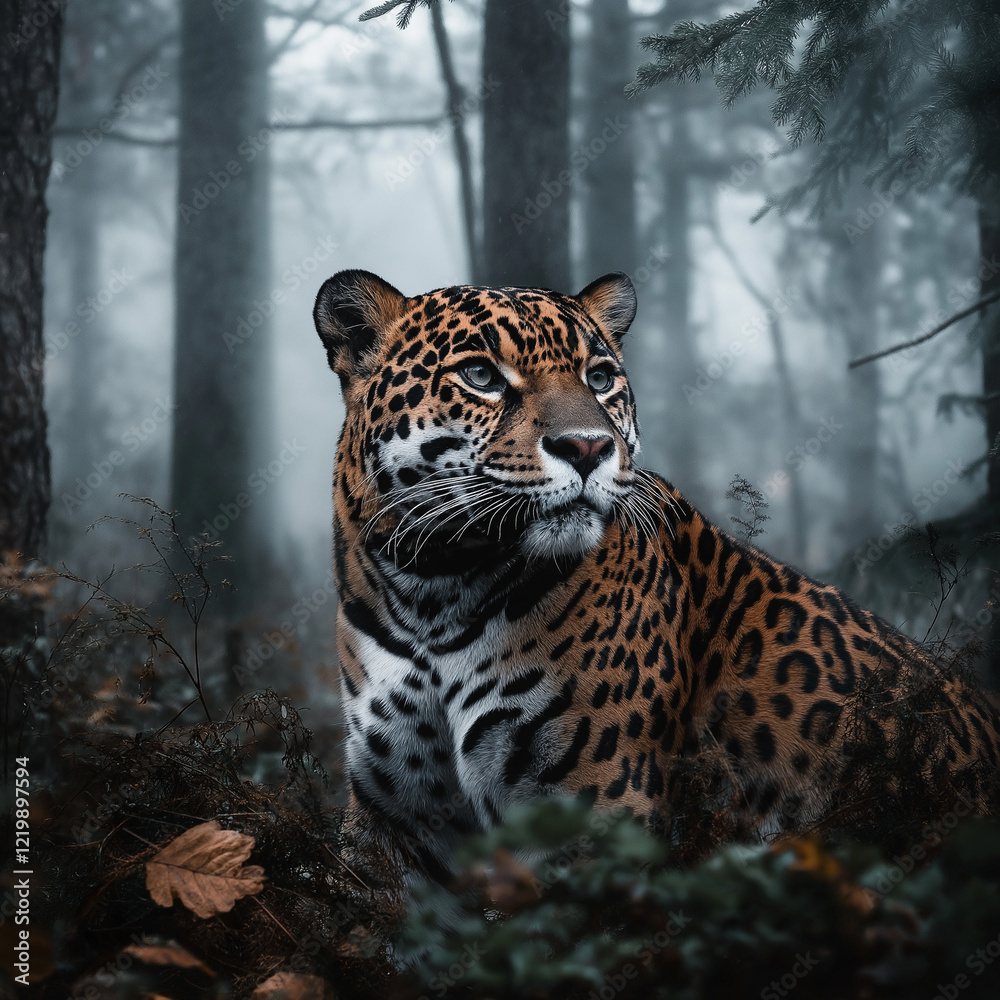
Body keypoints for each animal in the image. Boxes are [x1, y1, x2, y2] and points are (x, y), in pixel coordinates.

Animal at [314, 267, 1000, 879]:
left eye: (599, 378)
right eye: (479, 375)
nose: (589, 447)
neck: (432, 595)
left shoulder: (594, 811)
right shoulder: (396, 824)